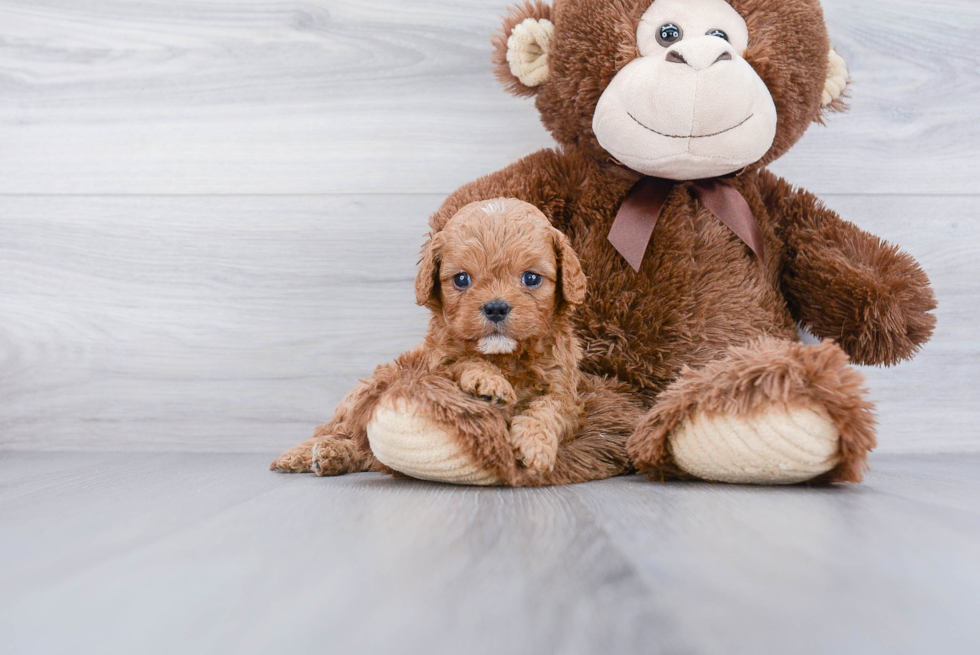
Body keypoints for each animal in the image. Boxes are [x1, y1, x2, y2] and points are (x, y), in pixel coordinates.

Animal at [272, 197, 584, 480]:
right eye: (461, 279)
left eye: (531, 278)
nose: (496, 307)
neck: (504, 356)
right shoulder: (436, 365)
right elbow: (463, 361)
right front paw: (488, 381)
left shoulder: (562, 388)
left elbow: (548, 410)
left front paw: (536, 448)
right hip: (367, 390)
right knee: (338, 430)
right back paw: (304, 454)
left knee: (363, 451)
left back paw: (332, 457)